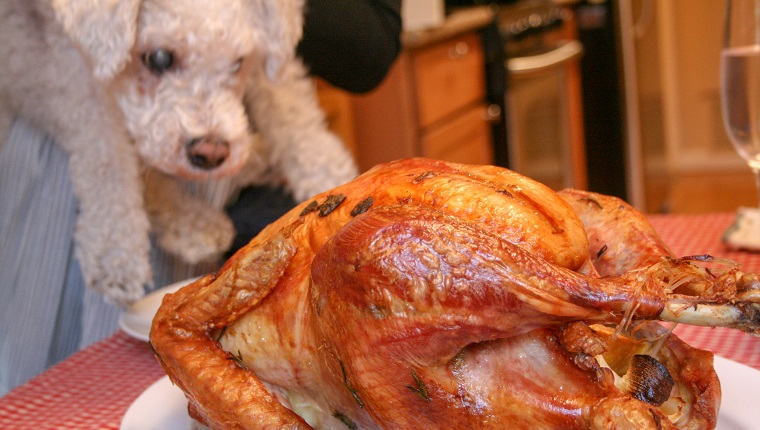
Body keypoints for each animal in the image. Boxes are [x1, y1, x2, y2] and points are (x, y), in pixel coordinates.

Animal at [0, 0, 358, 306]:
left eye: (238, 63)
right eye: (159, 58)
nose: (211, 154)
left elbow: (287, 100)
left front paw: (328, 171)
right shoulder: (62, 69)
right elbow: (106, 152)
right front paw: (115, 253)